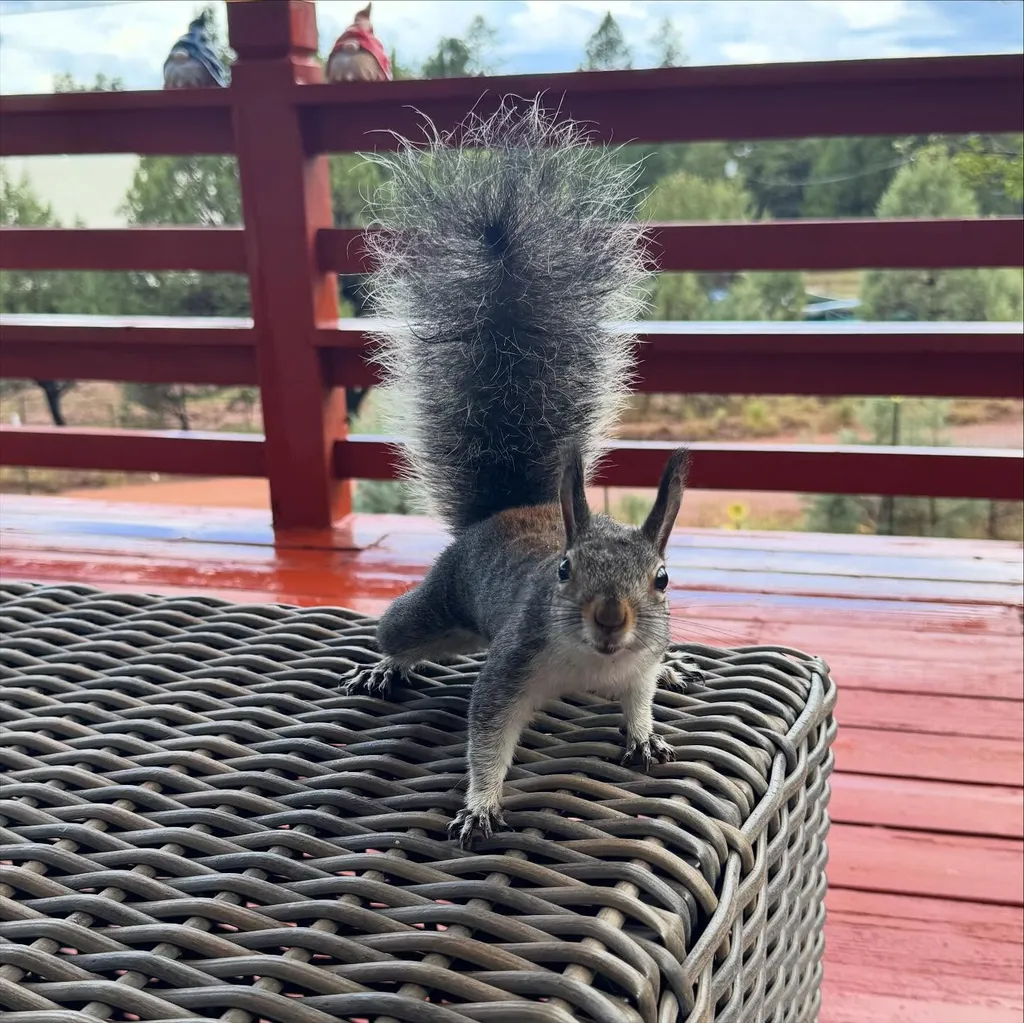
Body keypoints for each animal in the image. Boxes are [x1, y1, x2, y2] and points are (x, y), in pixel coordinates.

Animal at [344, 98, 690, 847]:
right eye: (563, 570)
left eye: (663, 579)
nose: (611, 618)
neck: (595, 663)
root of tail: (500, 514)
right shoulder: (512, 664)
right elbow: (487, 733)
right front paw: (481, 801)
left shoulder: (636, 664)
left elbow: (641, 694)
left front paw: (644, 730)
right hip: (436, 606)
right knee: (399, 630)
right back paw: (384, 664)